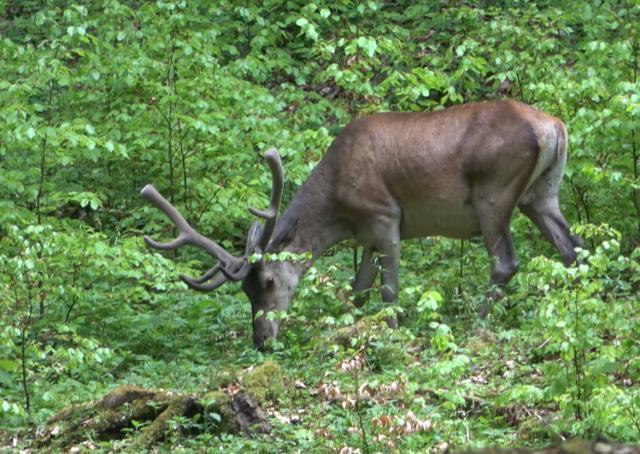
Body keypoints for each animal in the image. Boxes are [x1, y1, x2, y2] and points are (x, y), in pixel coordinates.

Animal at [142, 100, 584, 348]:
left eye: (267, 282)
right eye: (246, 292)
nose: (262, 341)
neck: (338, 210)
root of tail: (555, 127)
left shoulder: (385, 215)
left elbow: (388, 290)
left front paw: (391, 331)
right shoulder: (367, 234)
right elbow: (358, 289)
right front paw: (350, 328)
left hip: (494, 193)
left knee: (506, 261)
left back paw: (476, 324)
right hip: (542, 194)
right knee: (573, 248)